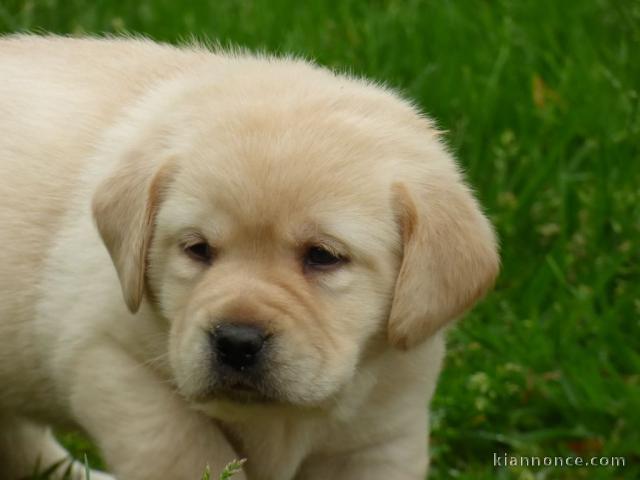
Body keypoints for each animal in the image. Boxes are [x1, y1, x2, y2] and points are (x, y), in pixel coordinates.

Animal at [0, 35, 500, 478]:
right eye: (198, 249)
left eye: (323, 256)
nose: (237, 341)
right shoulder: (111, 361)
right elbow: (188, 453)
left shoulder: (382, 433)